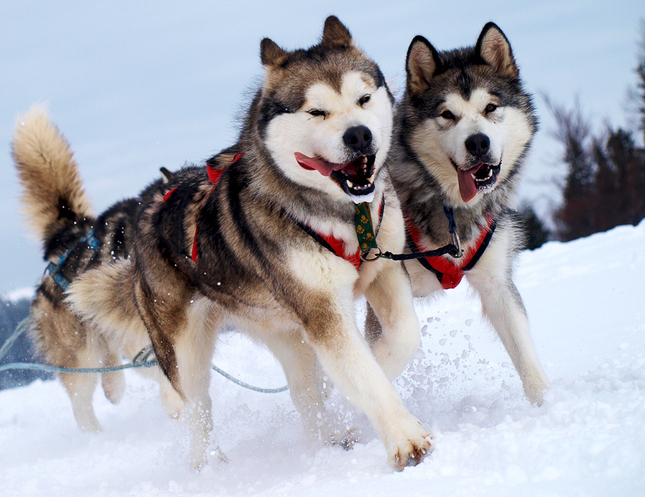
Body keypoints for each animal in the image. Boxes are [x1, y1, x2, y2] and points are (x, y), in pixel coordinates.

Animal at [66, 16, 428, 468]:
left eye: (363, 98)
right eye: (316, 111)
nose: (359, 136)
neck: (347, 215)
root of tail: (148, 207)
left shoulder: (384, 271)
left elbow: (401, 340)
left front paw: (366, 377)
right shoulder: (323, 311)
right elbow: (363, 373)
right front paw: (403, 437)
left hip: (284, 331)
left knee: (305, 392)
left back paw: (330, 438)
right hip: (185, 352)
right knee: (197, 410)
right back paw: (207, 466)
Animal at [380, 22, 552, 404]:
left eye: (491, 107)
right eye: (447, 114)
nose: (477, 143)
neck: (453, 209)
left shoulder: (498, 284)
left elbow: (527, 356)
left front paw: (546, 408)